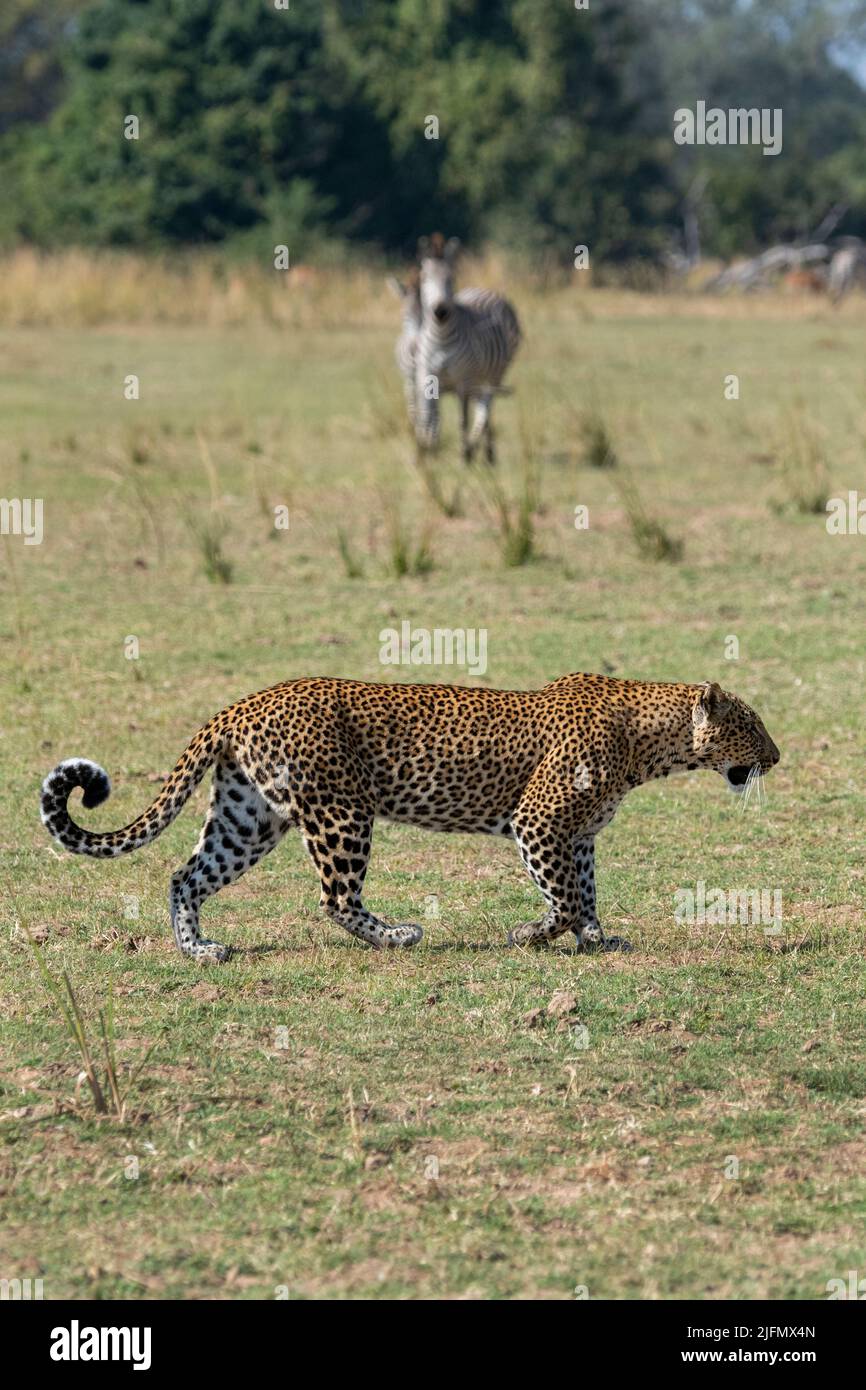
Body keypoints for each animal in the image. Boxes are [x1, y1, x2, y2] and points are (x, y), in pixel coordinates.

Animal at [40, 673, 780, 962]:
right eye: (751, 726)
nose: (777, 756)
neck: (652, 744)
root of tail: (244, 703)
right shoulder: (538, 822)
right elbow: (565, 896)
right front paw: (530, 934)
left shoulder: (578, 834)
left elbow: (586, 891)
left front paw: (597, 939)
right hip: (340, 814)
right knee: (335, 897)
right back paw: (398, 935)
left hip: (249, 817)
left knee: (184, 877)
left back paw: (199, 949)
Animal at [409, 233, 521, 465]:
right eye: (424, 278)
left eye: (451, 278)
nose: (440, 312)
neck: (441, 338)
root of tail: (484, 289)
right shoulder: (427, 376)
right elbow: (428, 414)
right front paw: (425, 451)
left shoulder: (464, 380)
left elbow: (463, 418)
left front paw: (463, 455)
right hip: (478, 377)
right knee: (482, 405)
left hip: (494, 374)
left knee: (486, 406)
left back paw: (482, 451)